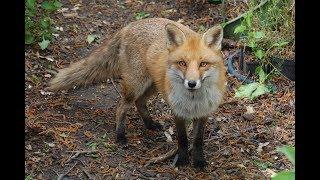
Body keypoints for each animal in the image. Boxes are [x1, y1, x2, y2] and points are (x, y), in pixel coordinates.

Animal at [48, 17, 228, 168]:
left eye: (203, 64)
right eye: (182, 63)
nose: (191, 83)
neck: (193, 101)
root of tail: (130, 25)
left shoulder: (204, 113)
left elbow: (198, 140)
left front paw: (198, 161)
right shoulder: (177, 112)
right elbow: (183, 139)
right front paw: (182, 160)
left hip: (153, 85)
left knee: (140, 102)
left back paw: (149, 124)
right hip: (136, 85)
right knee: (121, 107)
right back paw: (120, 136)